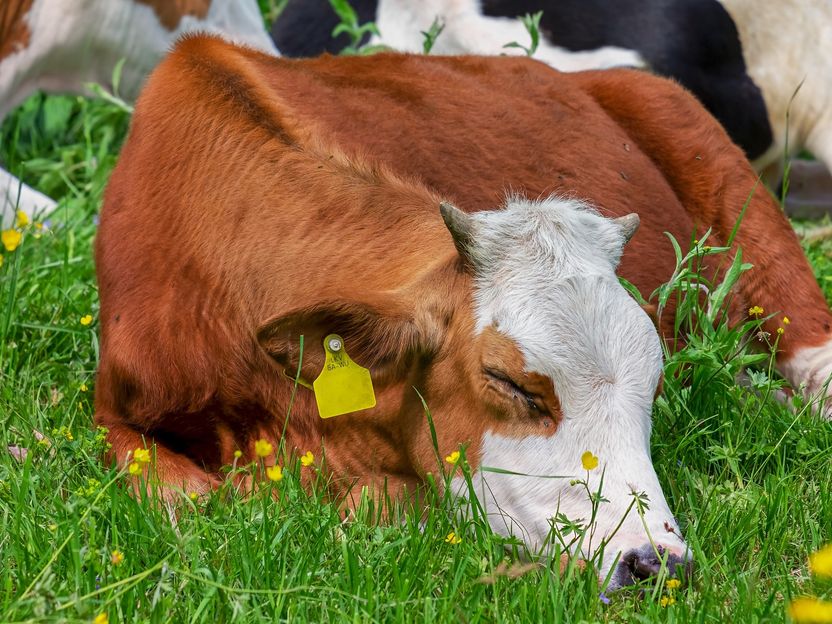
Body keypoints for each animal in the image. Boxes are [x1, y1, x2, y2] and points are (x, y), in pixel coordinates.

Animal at [94, 35, 832, 588]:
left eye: (652, 386)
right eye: (509, 384)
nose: (655, 563)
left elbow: (379, 500)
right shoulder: (111, 410)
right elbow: (188, 498)